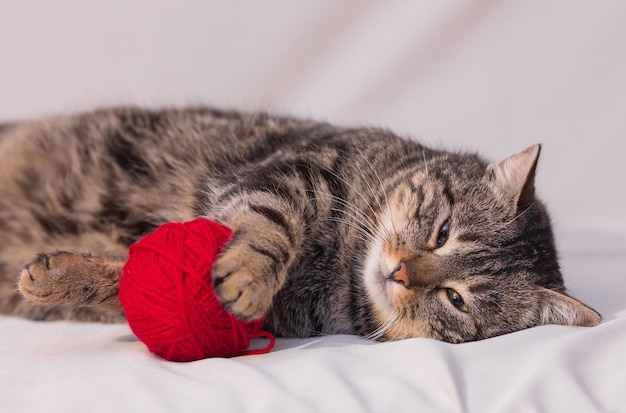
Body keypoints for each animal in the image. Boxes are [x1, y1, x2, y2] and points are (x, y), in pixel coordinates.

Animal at [0, 105, 596, 342]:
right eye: (442, 231)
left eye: (456, 299)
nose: (400, 272)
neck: (344, 263)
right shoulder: (294, 172)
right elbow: (269, 226)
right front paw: (248, 271)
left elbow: (137, 284)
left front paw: (59, 278)